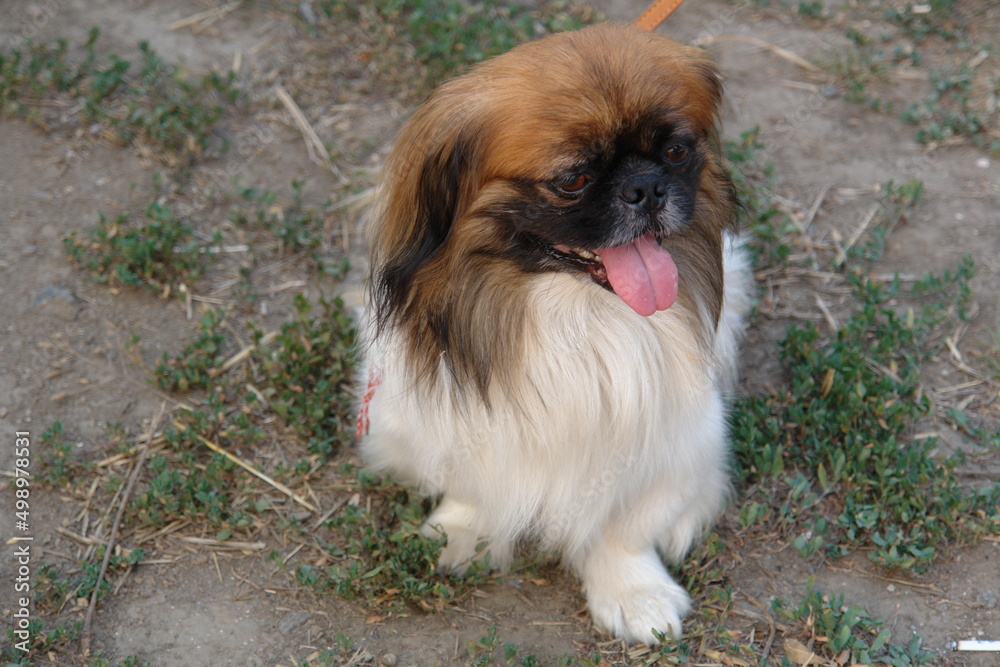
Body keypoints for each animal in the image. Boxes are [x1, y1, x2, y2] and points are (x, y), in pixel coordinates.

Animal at [356, 23, 748, 644]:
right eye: (573, 179)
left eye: (676, 152)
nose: (647, 187)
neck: (578, 315)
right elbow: (470, 481)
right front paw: (465, 534)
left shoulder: (675, 439)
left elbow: (625, 523)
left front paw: (633, 592)